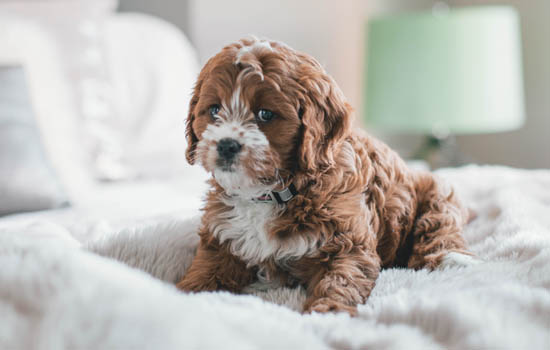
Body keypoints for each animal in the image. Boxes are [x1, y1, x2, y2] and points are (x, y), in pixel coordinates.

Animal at [178, 37, 474, 314]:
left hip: (436, 192)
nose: (226, 145)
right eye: (214, 110)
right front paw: (181, 295)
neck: (271, 193)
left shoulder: (347, 241)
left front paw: (328, 313)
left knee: (439, 226)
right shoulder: (221, 240)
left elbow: (341, 281)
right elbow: (205, 272)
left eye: (265, 114)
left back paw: (453, 259)